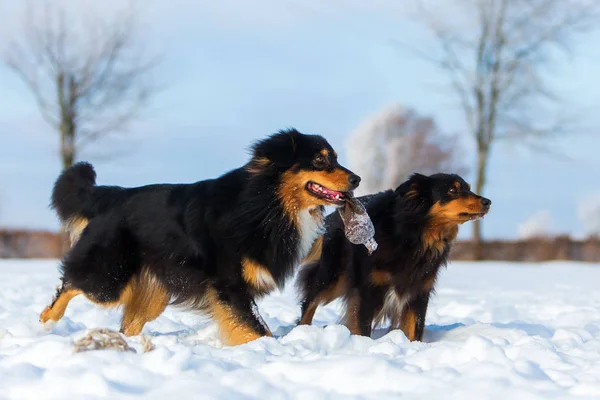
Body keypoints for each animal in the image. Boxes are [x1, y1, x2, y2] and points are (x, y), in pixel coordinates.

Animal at [42, 130, 360, 346]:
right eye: (319, 160)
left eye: (335, 158)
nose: (356, 179)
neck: (268, 203)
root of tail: (112, 195)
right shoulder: (229, 283)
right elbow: (257, 328)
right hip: (110, 278)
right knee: (71, 283)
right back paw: (46, 322)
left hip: (153, 293)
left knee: (128, 324)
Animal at [298, 172, 490, 340]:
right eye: (452, 190)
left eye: (469, 188)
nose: (488, 202)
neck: (414, 235)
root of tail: (331, 217)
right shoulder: (367, 289)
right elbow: (362, 326)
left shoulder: (419, 290)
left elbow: (414, 329)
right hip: (332, 275)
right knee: (309, 302)